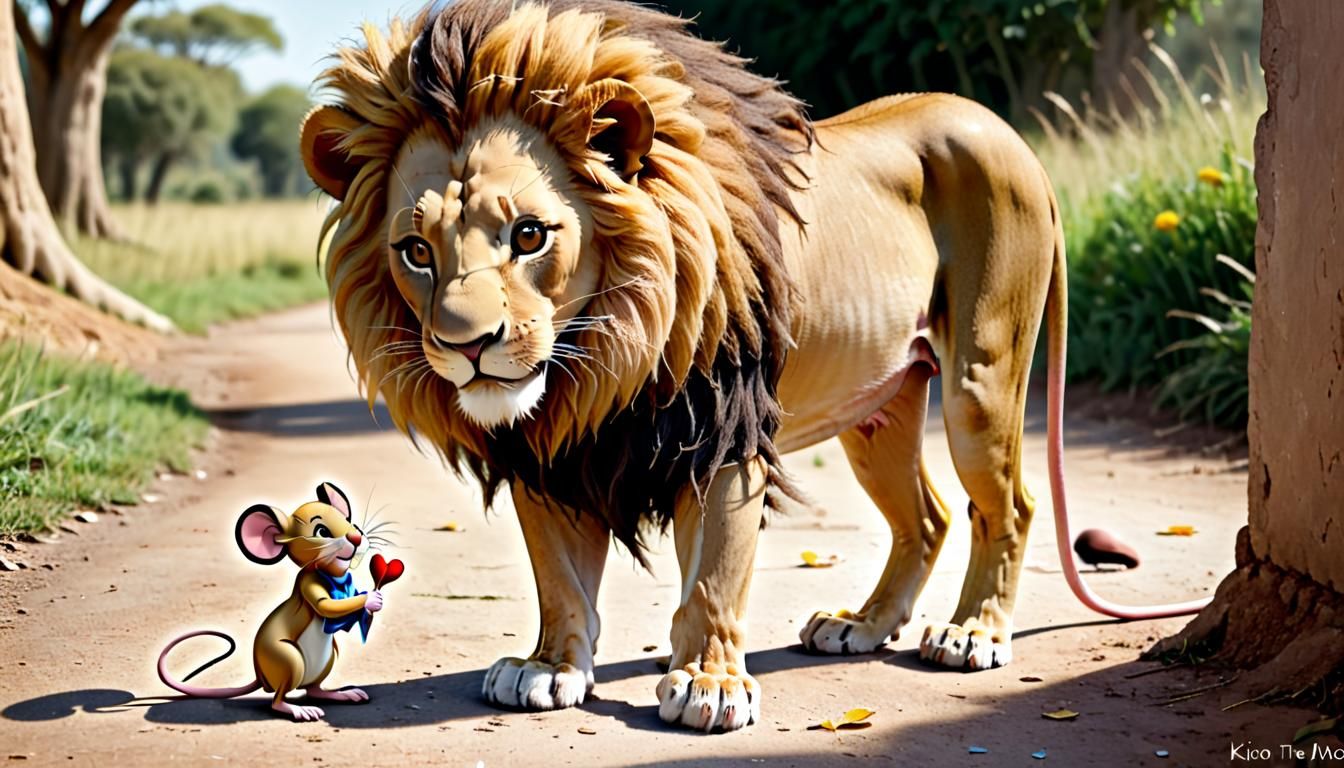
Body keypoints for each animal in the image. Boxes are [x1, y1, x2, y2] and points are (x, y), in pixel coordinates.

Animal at [299, 0, 1200, 733]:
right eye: (416, 251)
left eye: (529, 234)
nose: (464, 344)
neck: (599, 360)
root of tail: (1010, 134)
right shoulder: (552, 452)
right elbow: (558, 575)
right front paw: (551, 667)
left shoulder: (722, 433)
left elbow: (715, 573)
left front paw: (709, 683)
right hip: (878, 406)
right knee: (929, 515)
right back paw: (861, 626)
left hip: (981, 375)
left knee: (1007, 505)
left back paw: (972, 632)